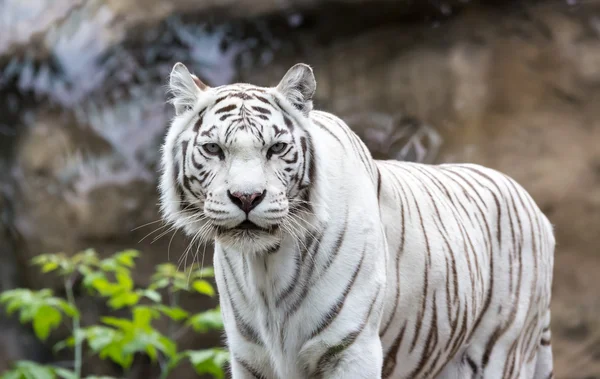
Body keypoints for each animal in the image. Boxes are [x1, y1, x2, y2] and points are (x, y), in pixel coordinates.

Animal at [158, 62, 552, 379]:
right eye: (213, 149)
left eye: (276, 148)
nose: (247, 198)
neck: (266, 267)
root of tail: (537, 211)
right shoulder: (250, 356)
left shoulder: (349, 348)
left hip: (497, 351)